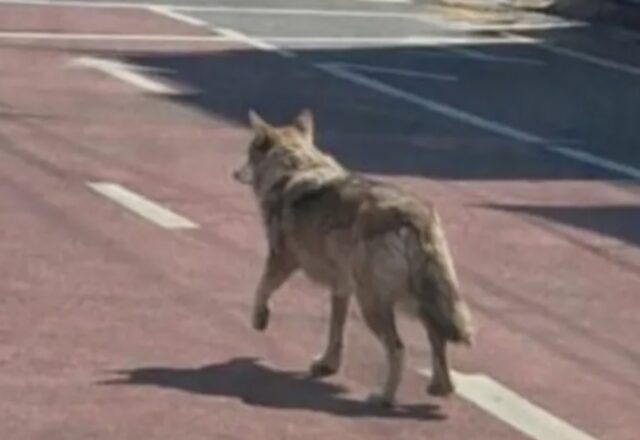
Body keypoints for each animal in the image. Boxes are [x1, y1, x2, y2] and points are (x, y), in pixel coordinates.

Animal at [233, 109, 473, 407]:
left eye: (249, 153)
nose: (233, 173)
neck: (295, 168)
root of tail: (415, 217)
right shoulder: (341, 287)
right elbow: (336, 331)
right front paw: (328, 364)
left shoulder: (282, 259)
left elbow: (261, 289)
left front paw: (260, 320)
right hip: (413, 300)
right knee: (437, 336)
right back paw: (441, 387)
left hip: (373, 303)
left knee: (398, 349)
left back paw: (384, 397)